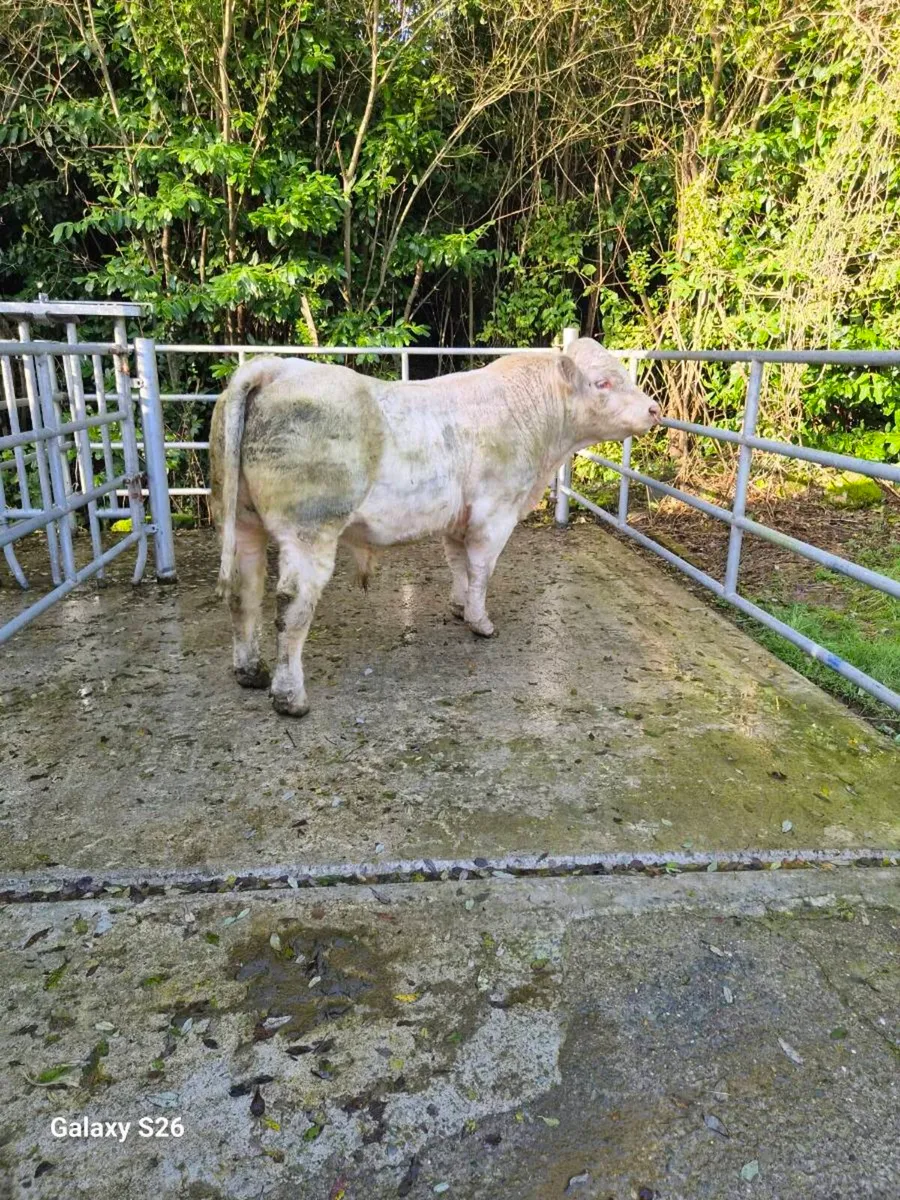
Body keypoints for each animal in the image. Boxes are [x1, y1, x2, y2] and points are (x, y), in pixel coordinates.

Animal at [210, 340, 660, 716]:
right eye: (602, 382)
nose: (655, 409)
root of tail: (276, 367)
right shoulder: (494, 512)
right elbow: (481, 569)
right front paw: (480, 622)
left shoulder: (457, 517)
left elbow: (458, 563)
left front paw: (459, 607)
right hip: (310, 530)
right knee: (291, 607)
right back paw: (290, 698)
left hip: (242, 521)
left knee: (244, 592)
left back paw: (250, 672)